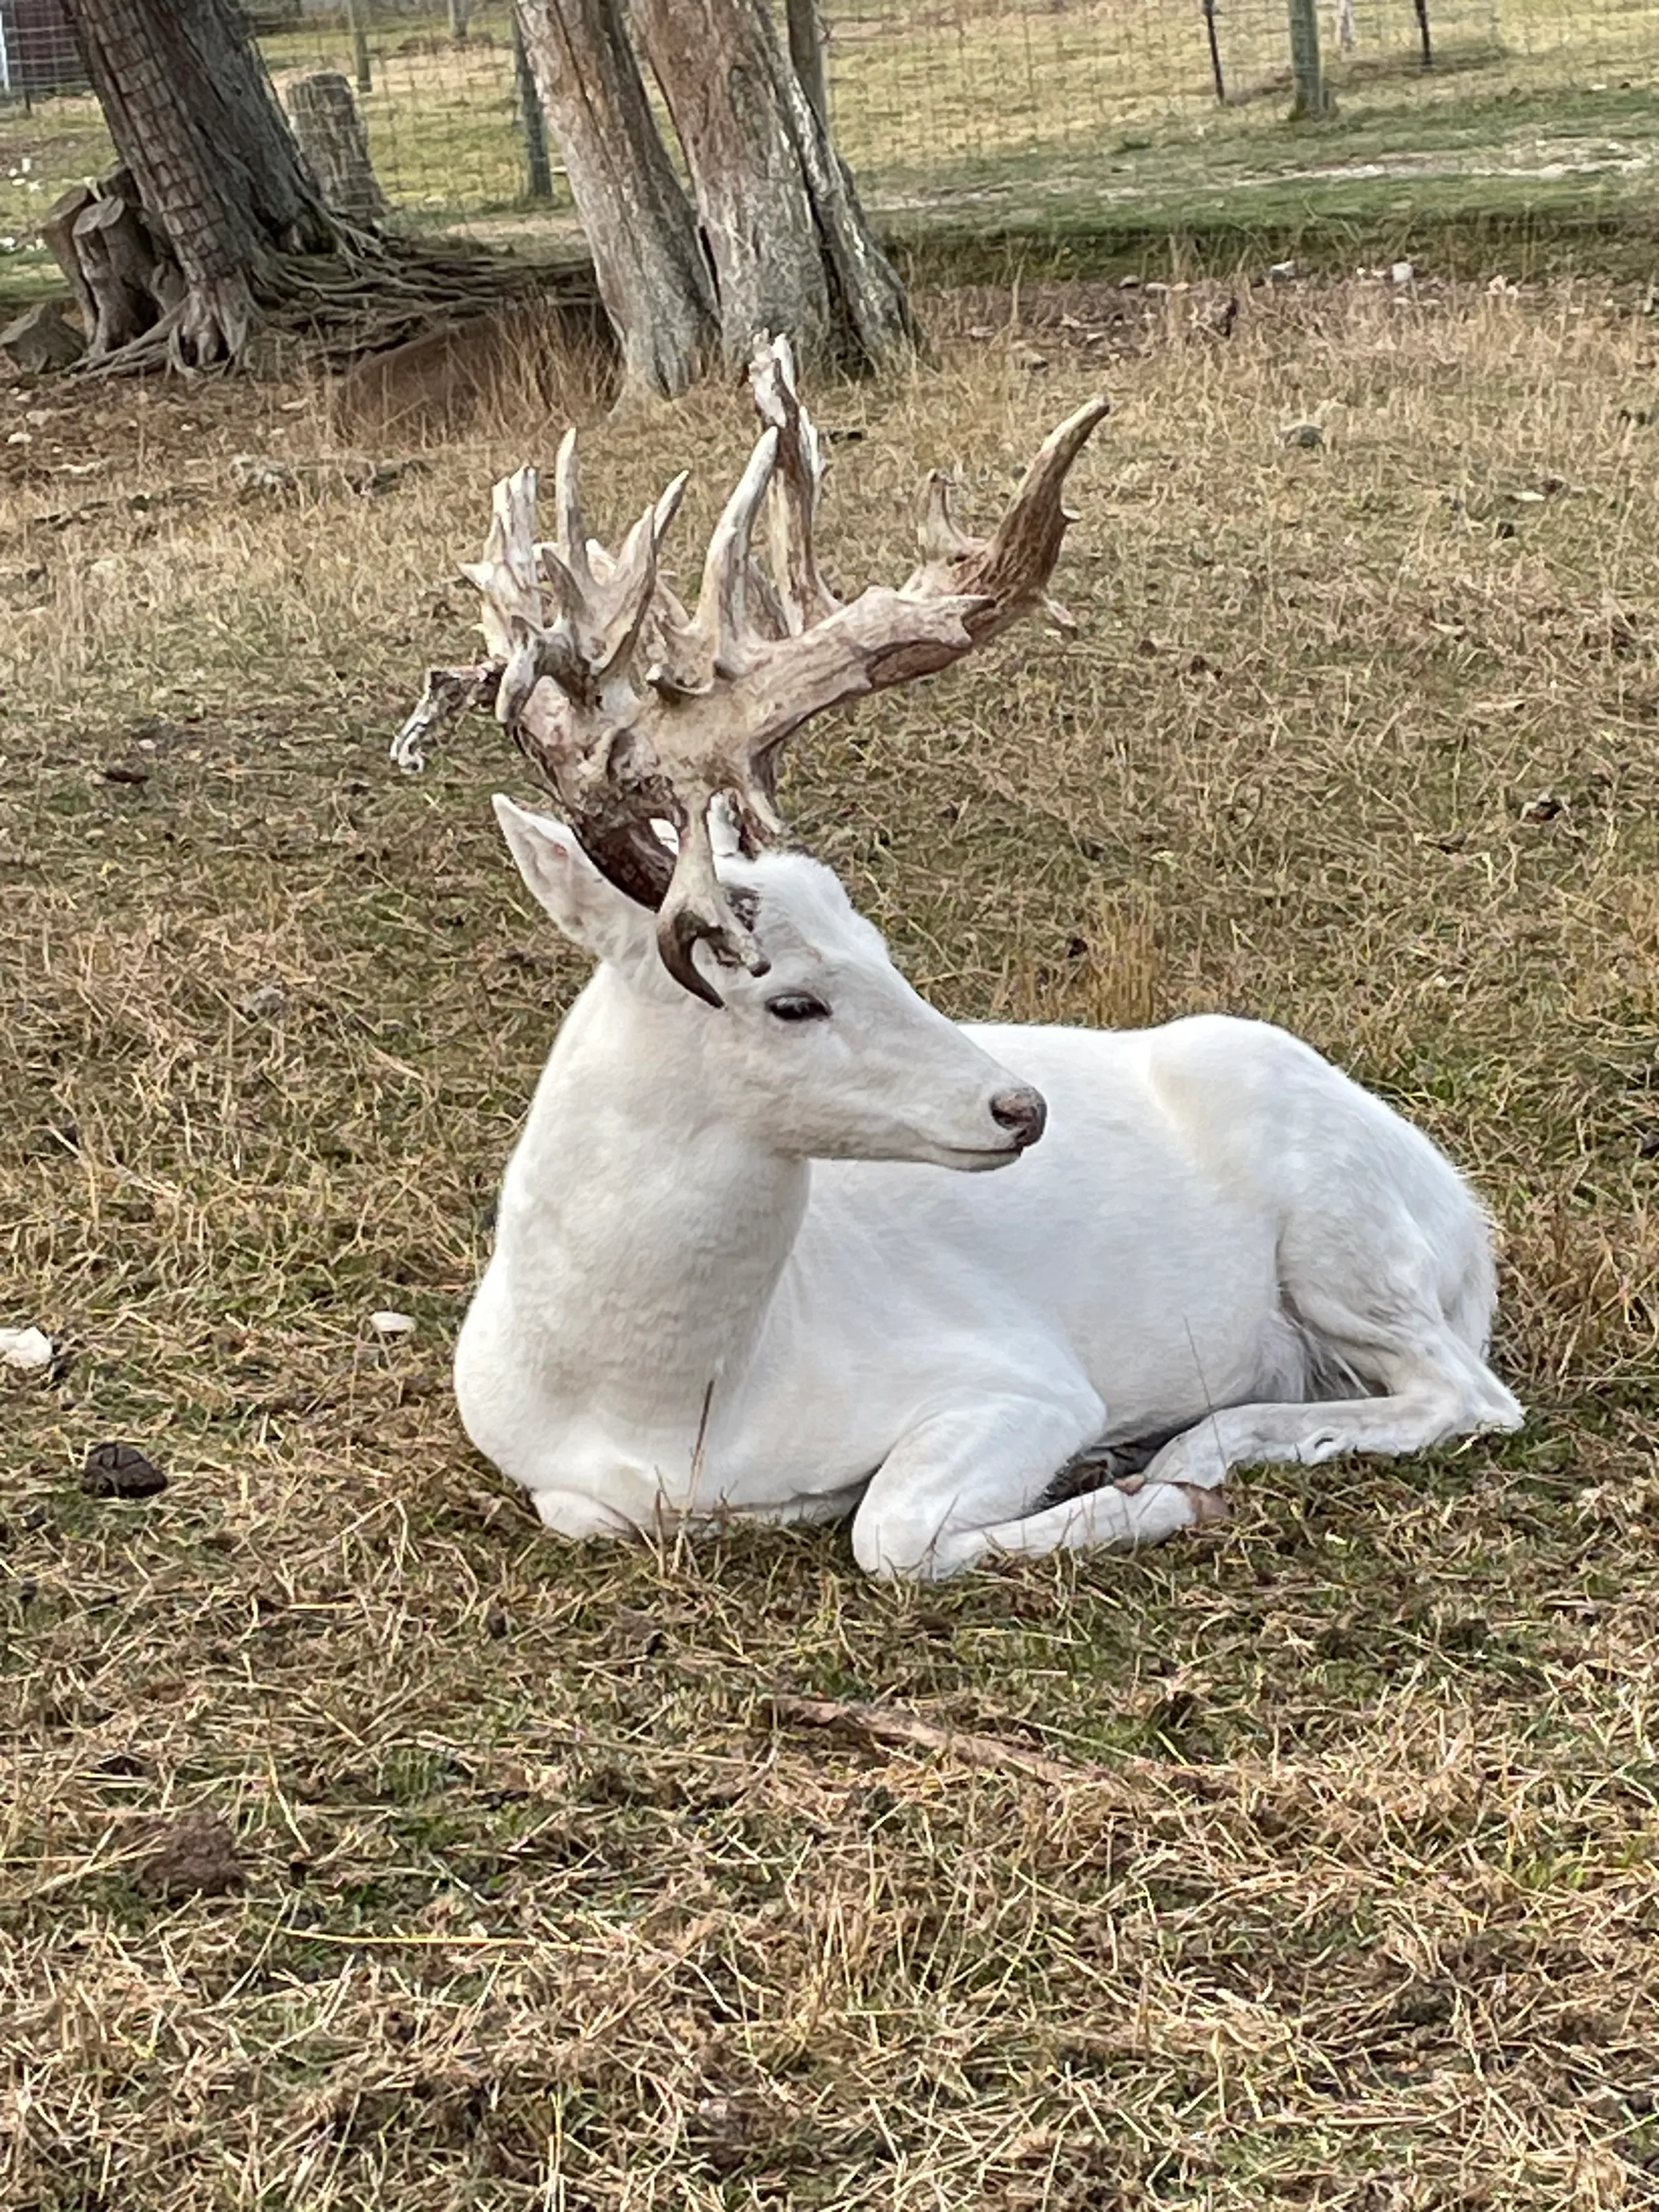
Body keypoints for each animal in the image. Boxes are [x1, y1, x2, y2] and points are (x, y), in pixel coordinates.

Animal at [395, 337, 1523, 1581]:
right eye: (789, 998)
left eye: (878, 942)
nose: (1019, 1108)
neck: (660, 1414)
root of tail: (1464, 1216)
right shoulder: (546, 1467)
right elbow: (588, 1511)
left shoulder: (1023, 1376)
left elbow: (889, 1534)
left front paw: (1140, 1499)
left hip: (1342, 1234)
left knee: (1472, 1394)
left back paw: (1200, 1449)